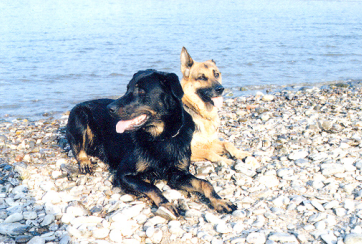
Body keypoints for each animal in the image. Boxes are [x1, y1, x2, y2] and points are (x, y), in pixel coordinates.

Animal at [66, 69, 236, 215]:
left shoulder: (178, 174)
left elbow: (205, 183)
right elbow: (152, 187)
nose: (110, 108)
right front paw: (166, 204)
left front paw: (220, 201)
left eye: (141, 91)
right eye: (127, 89)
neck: (161, 137)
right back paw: (85, 162)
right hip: (79, 116)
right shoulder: (124, 174)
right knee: (78, 148)